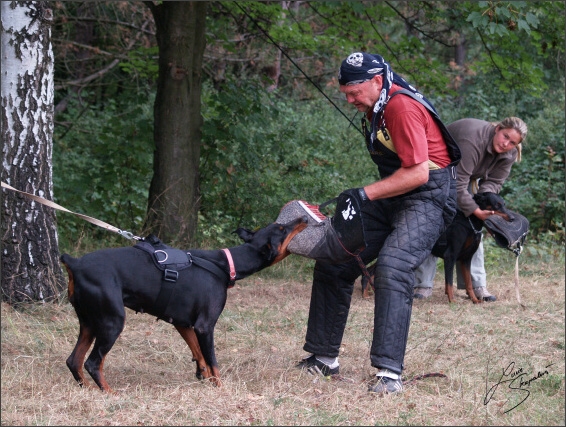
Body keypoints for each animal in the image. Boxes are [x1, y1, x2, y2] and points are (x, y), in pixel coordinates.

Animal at [60, 217, 308, 394]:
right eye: (282, 228)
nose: (304, 217)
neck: (225, 264)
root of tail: (76, 263)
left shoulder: (182, 322)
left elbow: (199, 354)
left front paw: (203, 376)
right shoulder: (205, 326)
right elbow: (213, 361)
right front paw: (220, 387)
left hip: (90, 322)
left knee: (74, 361)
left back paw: (88, 389)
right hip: (112, 322)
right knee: (93, 363)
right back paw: (110, 393)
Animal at [362, 192, 516, 306]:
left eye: (503, 204)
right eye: (497, 205)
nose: (513, 218)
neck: (470, 223)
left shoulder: (466, 259)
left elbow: (469, 283)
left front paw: (475, 300)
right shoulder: (450, 256)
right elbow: (449, 282)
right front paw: (452, 300)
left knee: (370, 270)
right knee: (367, 269)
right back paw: (365, 294)